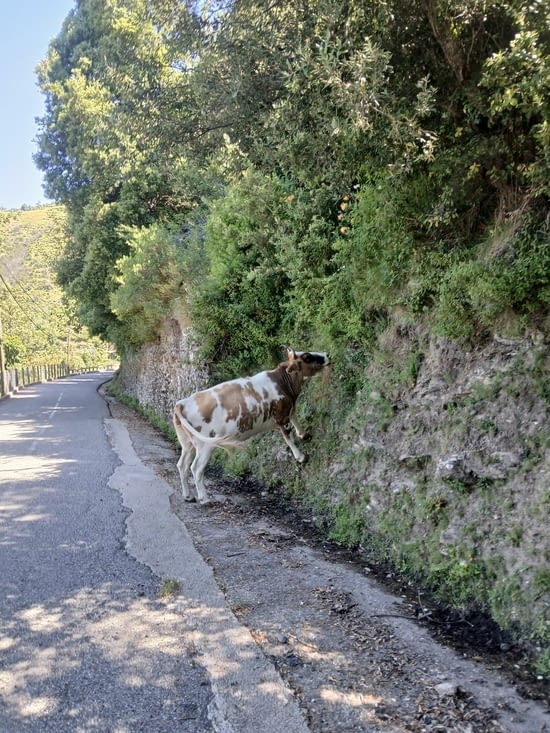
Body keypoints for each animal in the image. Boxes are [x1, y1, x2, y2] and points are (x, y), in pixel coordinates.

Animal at [172, 348, 330, 504]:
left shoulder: (289, 408)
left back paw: (188, 495)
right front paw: (301, 457)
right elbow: (289, 437)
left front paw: (304, 434)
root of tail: (183, 402)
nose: (327, 354)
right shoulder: (280, 416)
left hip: (187, 443)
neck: (283, 382)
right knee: (196, 468)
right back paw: (204, 498)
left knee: (182, 465)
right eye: (307, 357)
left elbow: (295, 418)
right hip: (205, 444)